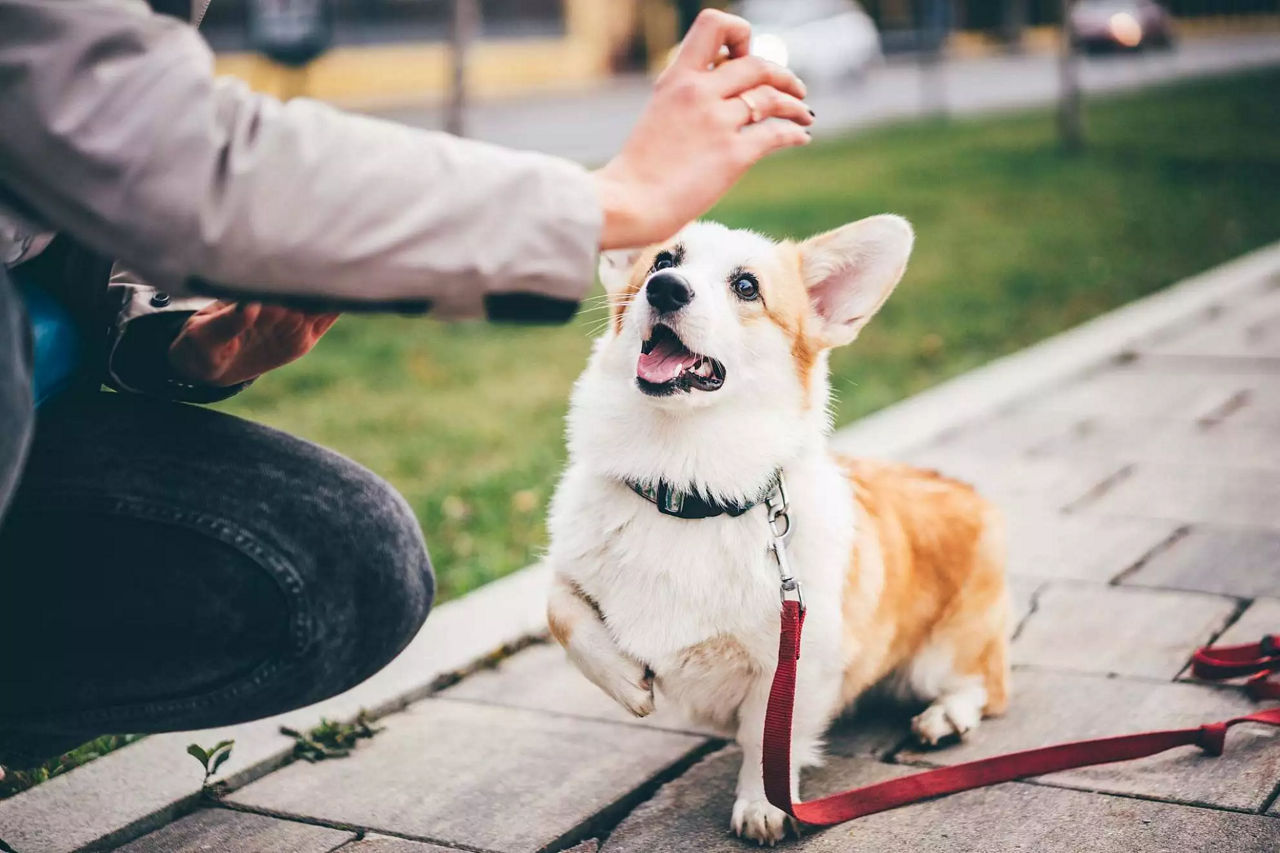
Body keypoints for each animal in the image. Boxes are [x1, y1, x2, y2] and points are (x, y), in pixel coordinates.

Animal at [547, 216, 1008, 840]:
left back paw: (944, 718)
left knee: (985, 684)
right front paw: (624, 680)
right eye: (663, 260)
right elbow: (562, 609)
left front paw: (762, 805)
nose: (665, 288)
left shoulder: (794, 660)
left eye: (746, 286)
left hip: (941, 657)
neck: (685, 484)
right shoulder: (567, 567)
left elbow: (768, 739)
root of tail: (964, 488)